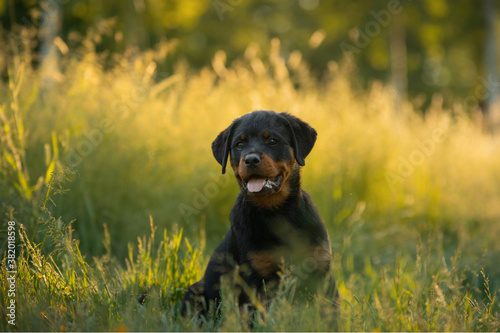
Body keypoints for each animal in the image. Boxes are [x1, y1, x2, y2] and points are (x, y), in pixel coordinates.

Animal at [180, 109, 336, 316]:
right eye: (239, 144)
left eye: (272, 141)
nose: (251, 159)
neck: (277, 212)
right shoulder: (254, 277)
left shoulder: (322, 271)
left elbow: (331, 312)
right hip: (196, 290)